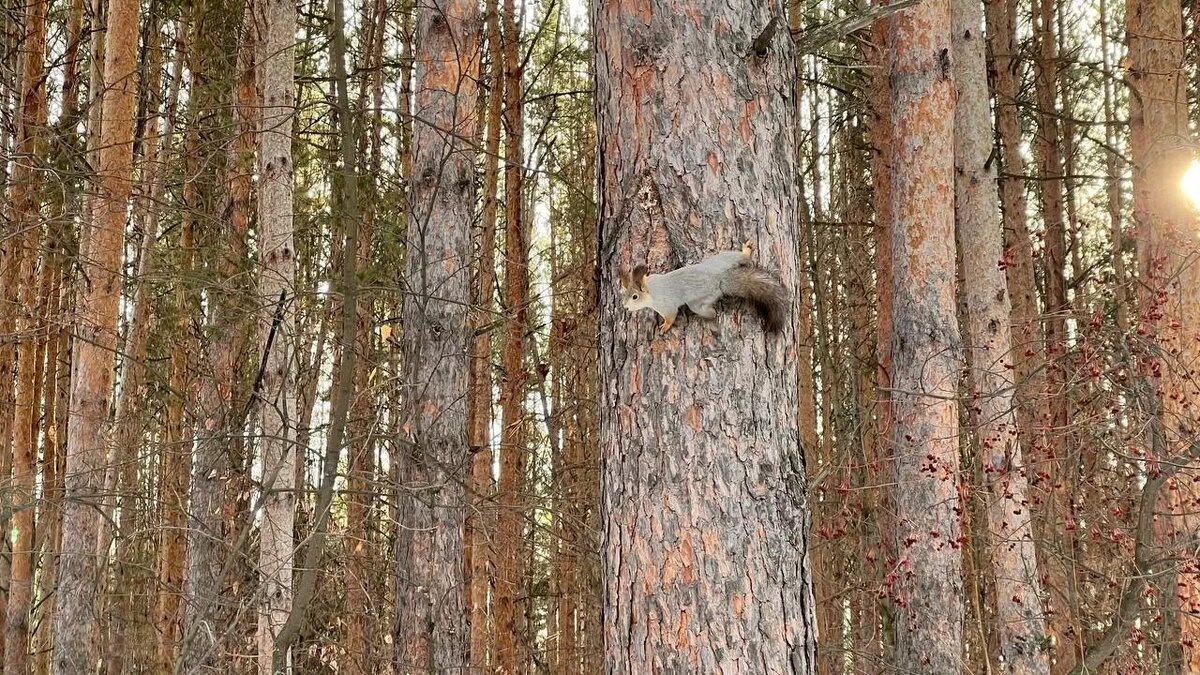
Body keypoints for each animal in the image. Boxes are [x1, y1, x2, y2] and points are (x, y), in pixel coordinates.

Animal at [619, 240, 787, 331]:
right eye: (624, 294)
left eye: (635, 297)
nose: (625, 307)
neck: (652, 291)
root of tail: (720, 278)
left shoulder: (666, 305)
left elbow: (671, 316)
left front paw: (665, 327)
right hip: (721, 260)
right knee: (739, 257)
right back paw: (747, 250)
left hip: (700, 301)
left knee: (706, 310)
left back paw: (710, 315)